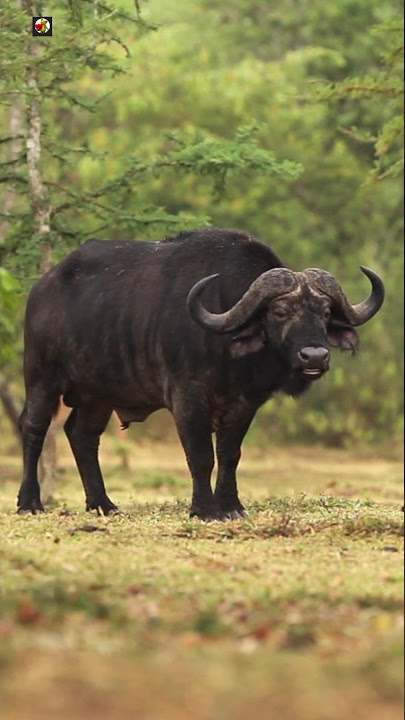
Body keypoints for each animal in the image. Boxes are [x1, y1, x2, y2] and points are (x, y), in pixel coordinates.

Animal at [17, 228, 384, 519]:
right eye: (280, 311)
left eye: (325, 312)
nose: (315, 356)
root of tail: (43, 287)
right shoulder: (188, 397)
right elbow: (201, 455)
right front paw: (205, 509)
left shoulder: (244, 403)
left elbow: (230, 455)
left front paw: (231, 506)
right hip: (41, 377)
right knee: (34, 428)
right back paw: (30, 502)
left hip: (99, 394)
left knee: (82, 434)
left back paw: (103, 504)